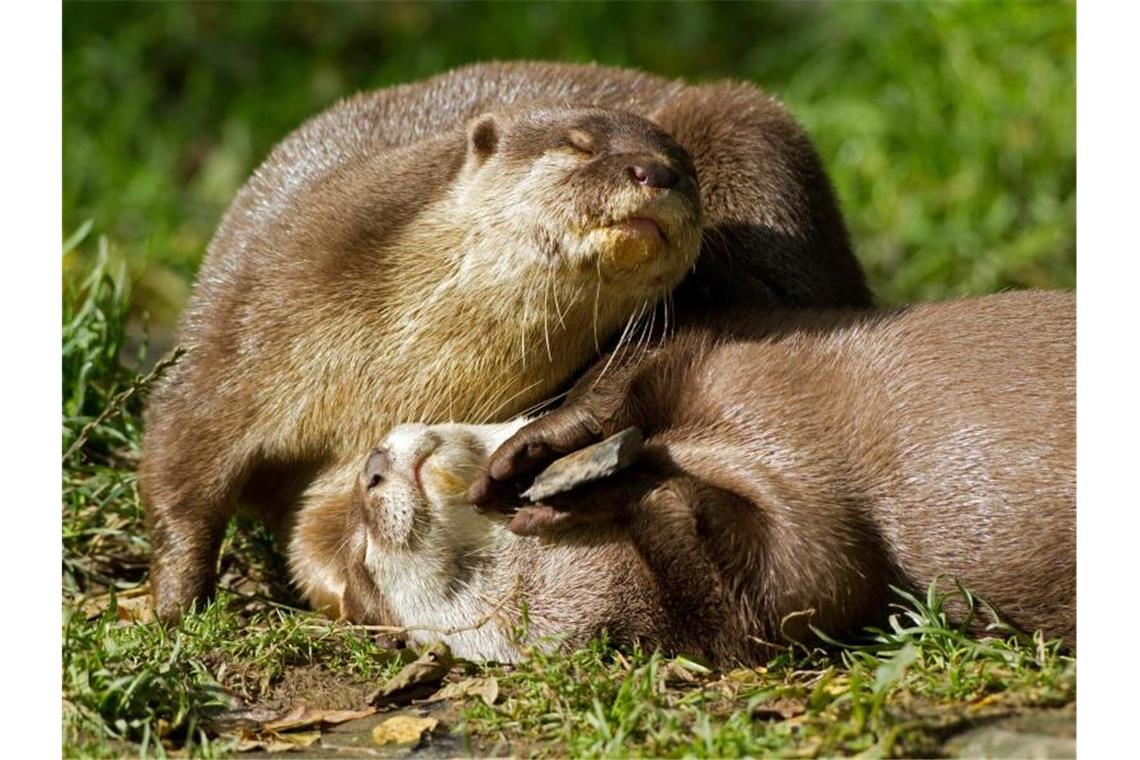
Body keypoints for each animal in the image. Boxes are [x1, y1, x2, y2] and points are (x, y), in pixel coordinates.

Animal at [147, 62, 866, 619]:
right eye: (580, 145)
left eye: (682, 166)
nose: (654, 171)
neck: (398, 360)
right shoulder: (241, 327)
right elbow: (180, 467)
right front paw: (171, 609)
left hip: (754, 136)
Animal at [342, 291, 1071, 665]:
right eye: (361, 560)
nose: (371, 469)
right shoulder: (809, 591)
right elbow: (785, 579)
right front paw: (612, 488)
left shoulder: (725, 344)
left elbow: (636, 371)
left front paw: (541, 449)